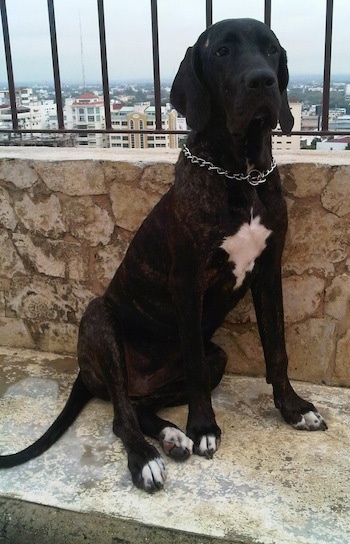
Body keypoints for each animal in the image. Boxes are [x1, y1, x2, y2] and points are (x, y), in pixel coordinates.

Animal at [1, 18, 326, 492]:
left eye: (272, 50)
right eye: (222, 51)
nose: (263, 81)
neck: (240, 172)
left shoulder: (269, 272)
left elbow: (277, 348)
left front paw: (293, 408)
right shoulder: (187, 284)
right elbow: (193, 364)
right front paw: (204, 427)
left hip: (216, 357)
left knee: (140, 405)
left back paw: (171, 436)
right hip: (100, 321)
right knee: (121, 415)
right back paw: (148, 456)